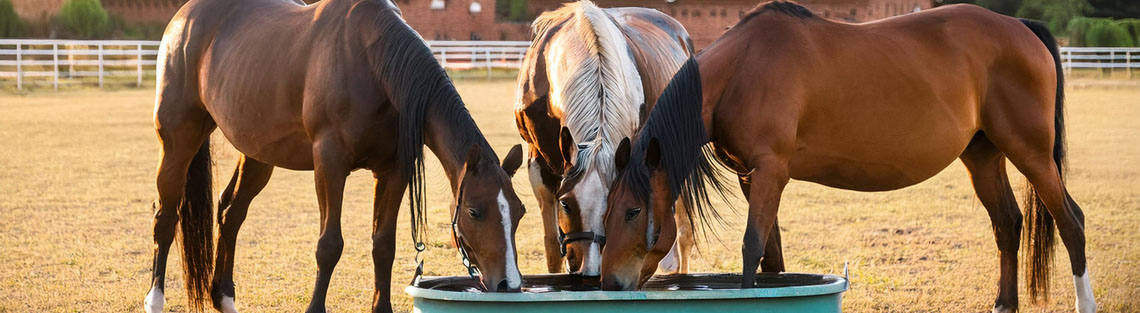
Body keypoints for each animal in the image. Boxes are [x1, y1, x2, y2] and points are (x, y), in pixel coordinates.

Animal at [144, 0, 526, 313]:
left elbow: (383, 245)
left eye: (519, 212)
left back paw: (224, 298)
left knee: (230, 213)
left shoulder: (394, 171)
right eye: (475, 211)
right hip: (178, 139)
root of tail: (184, 17)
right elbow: (329, 246)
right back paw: (155, 300)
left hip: (257, 153)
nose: (509, 285)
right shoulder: (330, 164)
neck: (373, 64)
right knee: (165, 216)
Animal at [601, 2, 1089, 313]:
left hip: (1031, 153)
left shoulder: (771, 172)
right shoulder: (751, 176)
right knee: (1007, 224)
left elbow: (751, 248)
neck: (743, 69)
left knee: (1071, 223)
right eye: (605, 210)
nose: (609, 283)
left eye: (632, 211)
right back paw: (1004, 304)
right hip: (983, 156)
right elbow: (772, 258)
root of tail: (1020, 26)